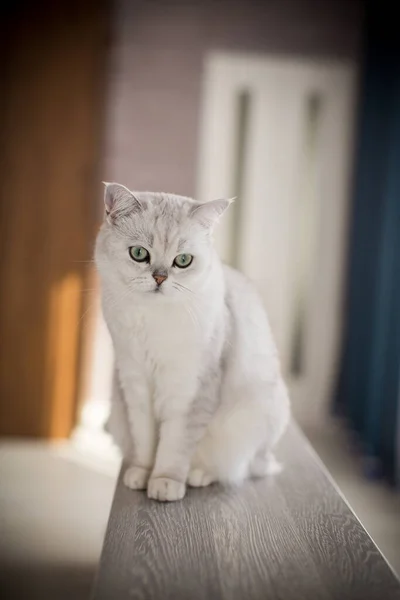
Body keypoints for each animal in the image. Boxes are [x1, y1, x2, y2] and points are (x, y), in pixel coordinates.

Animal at [97, 183, 290, 502]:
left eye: (183, 260)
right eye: (139, 254)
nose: (160, 278)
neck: (154, 319)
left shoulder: (189, 389)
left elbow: (174, 446)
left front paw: (165, 482)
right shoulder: (135, 383)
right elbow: (145, 440)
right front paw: (142, 474)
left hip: (256, 419)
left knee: (241, 467)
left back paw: (198, 475)